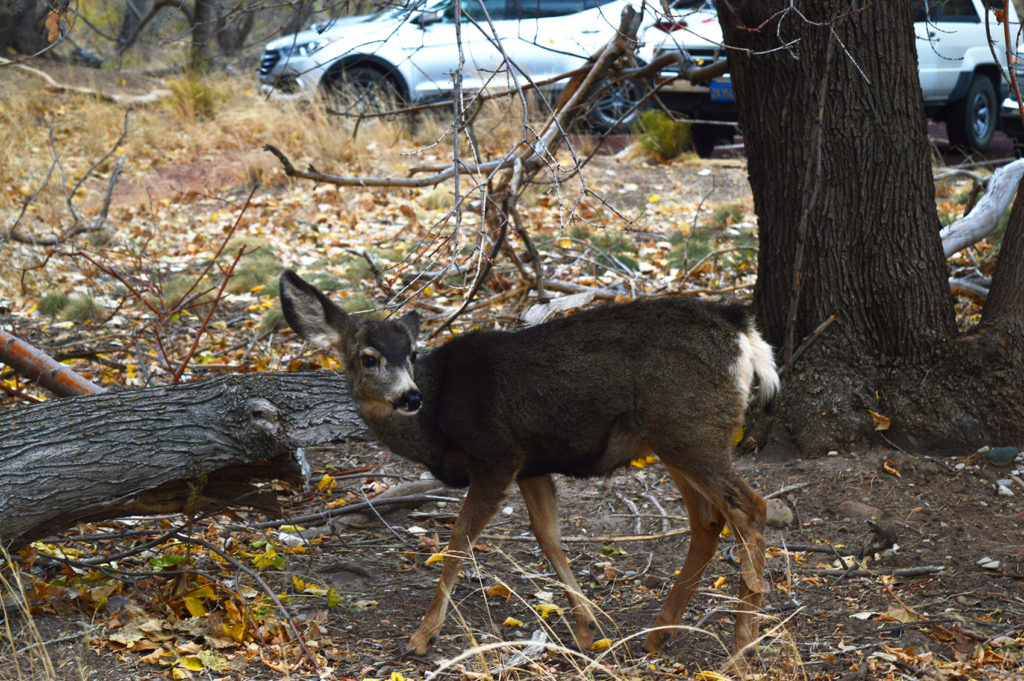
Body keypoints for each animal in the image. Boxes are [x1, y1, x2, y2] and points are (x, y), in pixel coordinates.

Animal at [280, 270, 774, 667]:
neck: (437, 421)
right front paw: (586, 627)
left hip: (688, 428)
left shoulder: (497, 454)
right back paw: (659, 634)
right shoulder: (532, 464)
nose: (410, 397)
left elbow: (458, 542)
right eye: (368, 357)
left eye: (412, 353)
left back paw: (740, 651)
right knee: (708, 520)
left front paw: (422, 637)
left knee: (750, 507)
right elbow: (548, 537)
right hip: (672, 438)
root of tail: (740, 328)